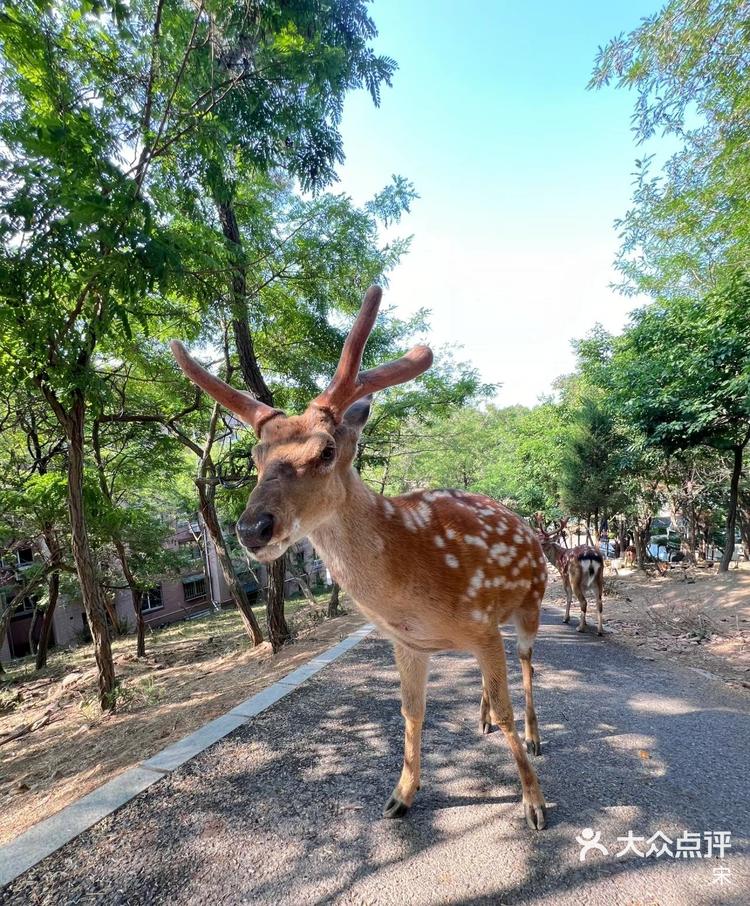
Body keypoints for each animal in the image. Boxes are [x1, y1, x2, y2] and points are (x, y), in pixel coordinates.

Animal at [170, 286, 548, 830]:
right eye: (257, 457)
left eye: (326, 451)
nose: (251, 528)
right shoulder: (408, 642)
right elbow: (411, 713)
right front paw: (400, 796)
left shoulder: (480, 624)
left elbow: (506, 710)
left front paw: (534, 804)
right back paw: (478, 720)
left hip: (531, 602)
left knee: (527, 665)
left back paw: (536, 738)